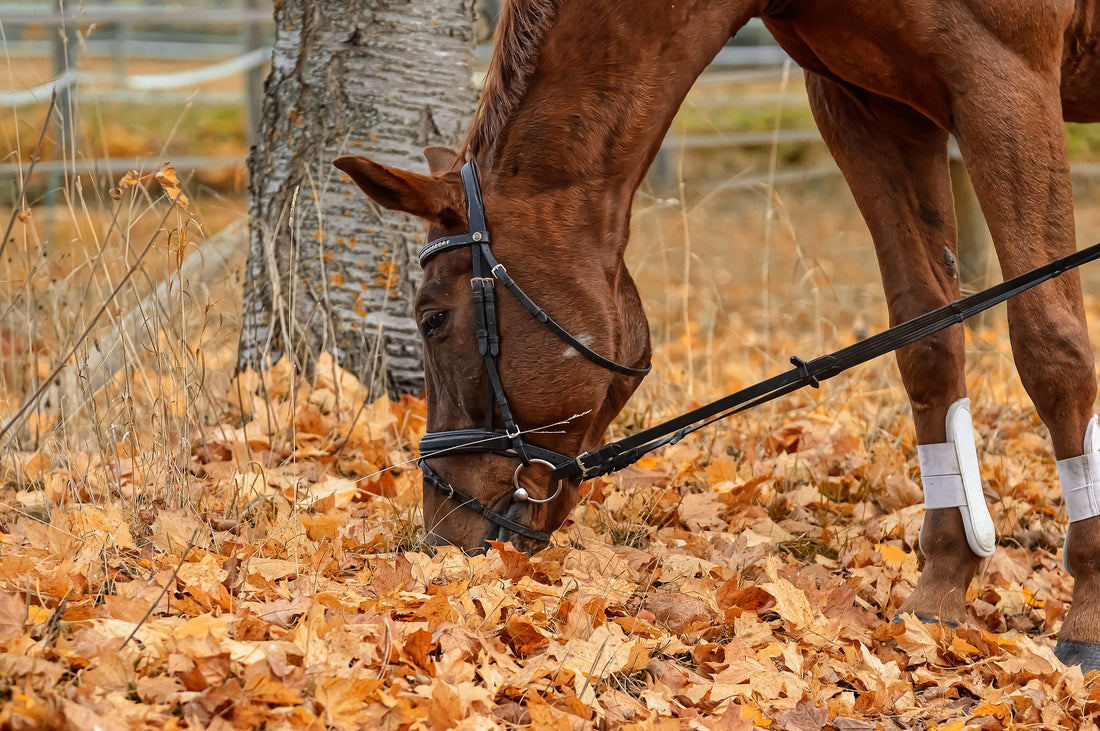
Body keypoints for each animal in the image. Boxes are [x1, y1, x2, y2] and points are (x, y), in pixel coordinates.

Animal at [334, 0, 1100, 669]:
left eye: (433, 318)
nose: (441, 533)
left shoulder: (1004, 79)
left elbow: (1052, 348)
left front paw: (1087, 611)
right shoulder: (869, 109)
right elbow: (928, 344)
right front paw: (940, 590)